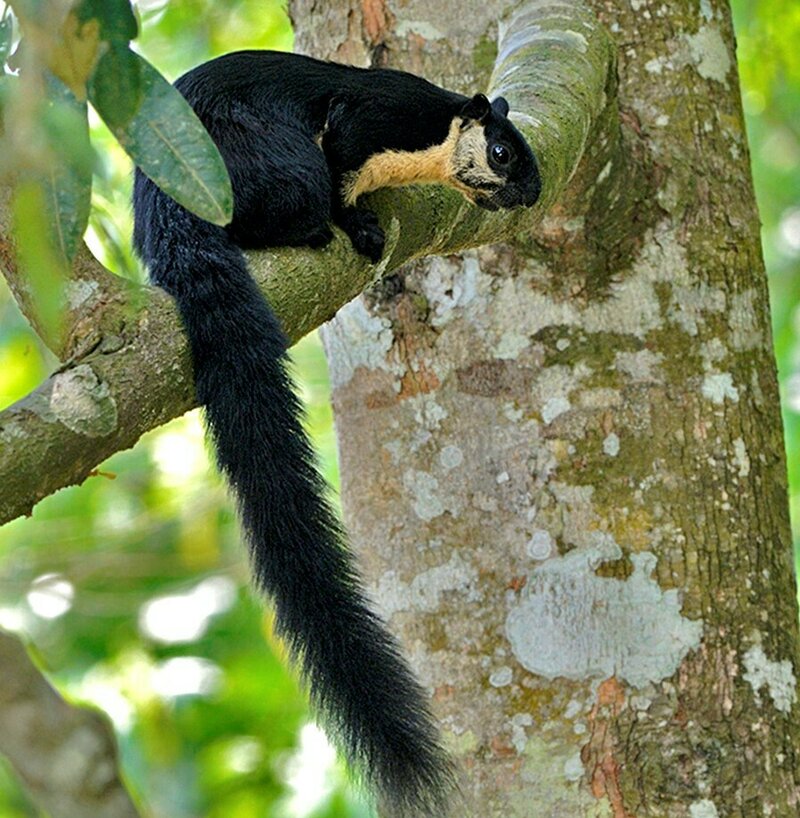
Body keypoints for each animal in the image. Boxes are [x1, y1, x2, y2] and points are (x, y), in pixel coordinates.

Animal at [132, 49, 540, 817]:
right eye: (503, 153)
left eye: (530, 156)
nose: (530, 194)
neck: (427, 141)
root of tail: (161, 209)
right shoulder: (371, 120)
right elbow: (347, 159)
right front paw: (361, 222)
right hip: (275, 169)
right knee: (284, 206)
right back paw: (317, 229)